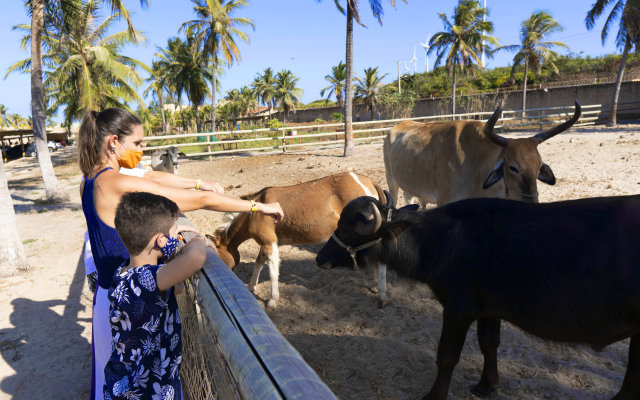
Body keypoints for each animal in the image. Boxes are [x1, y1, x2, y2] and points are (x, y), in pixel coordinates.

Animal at [212, 170, 388, 308]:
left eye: (218, 255)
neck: (254, 213)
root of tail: (367, 181)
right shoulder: (266, 244)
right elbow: (258, 264)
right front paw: (250, 287)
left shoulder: (269, 243)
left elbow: (272, 272)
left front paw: (272, 300)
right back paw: (374, 286)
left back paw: (381, 295)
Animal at [316, 195, 640, 400]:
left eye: (346, 228)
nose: (320, 259)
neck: (439, 241)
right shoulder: (489, 310)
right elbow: (489, 344)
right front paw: (487, 385)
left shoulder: (458, 309)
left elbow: (447, 355)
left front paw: (434, 396)